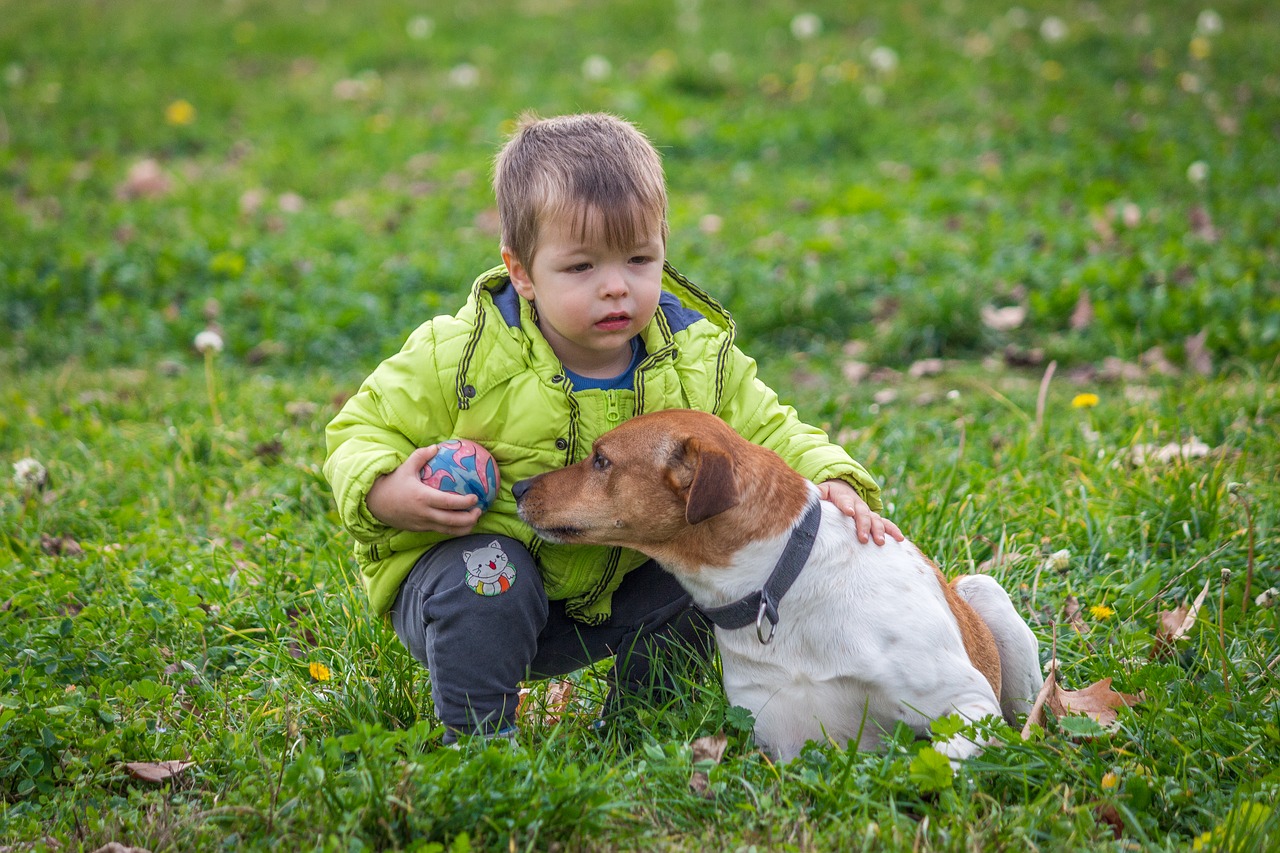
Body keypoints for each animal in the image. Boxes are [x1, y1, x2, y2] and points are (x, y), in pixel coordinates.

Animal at [514, 409, 1044, 758]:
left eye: (601, 460)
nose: (517, 487)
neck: (779, 589)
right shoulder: (782, 739)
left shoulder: (968, 705)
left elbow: (939, 756)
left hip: (987, 599)